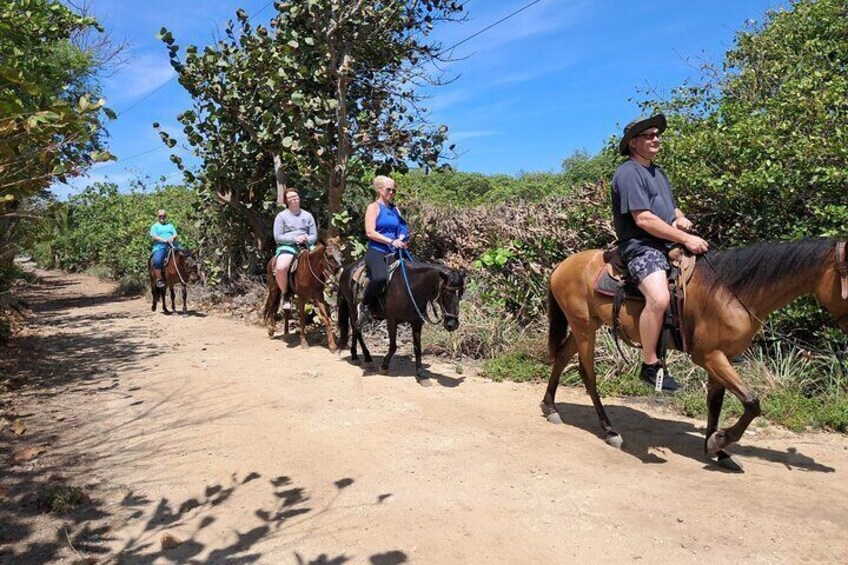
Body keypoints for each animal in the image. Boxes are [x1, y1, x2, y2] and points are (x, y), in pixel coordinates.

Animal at [336, 254, 468, 384]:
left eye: (461, 293)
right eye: (446, 293)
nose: (452, 324)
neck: (411, 286)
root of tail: (347, 269)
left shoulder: (416, 322)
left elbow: (417, 348)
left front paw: (421, 374)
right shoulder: (392, 320)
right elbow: (393, 346)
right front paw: (384, 366)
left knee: (355, 329)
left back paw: (355, 355)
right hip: (352, 306)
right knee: (356, 329)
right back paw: (367, 358)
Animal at [544, 236, 848, 470]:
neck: (731, 293)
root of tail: (561, 267)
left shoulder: (722, 357)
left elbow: (715, 403)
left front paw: (719, 451)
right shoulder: (709, 357)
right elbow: (752, 402)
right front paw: (719, 441)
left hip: (585, 325)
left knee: (561, 358)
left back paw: (550, 408)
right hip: (584, 328)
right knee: (588, 374)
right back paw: (609, 430)